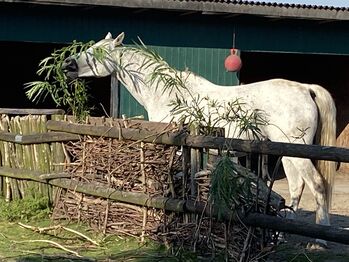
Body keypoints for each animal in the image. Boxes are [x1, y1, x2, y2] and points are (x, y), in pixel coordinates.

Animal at [61, 31, 334, 234]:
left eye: (98, 52)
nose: (67, 65)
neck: (167, 92)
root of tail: (306, 89)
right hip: (288, 153)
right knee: (298, 187)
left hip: (297, 151)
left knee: (317, 185)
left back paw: (319, 239)